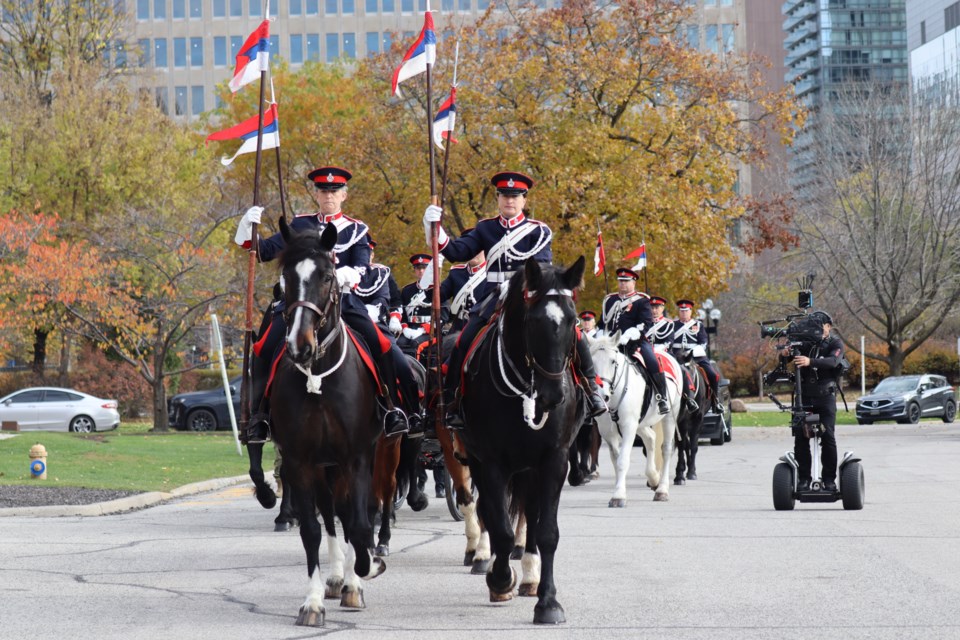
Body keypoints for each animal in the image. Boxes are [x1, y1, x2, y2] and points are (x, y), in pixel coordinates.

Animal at [249, 219, 388, 624]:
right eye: (286, 278)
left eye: (328, 276)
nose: (300, 346)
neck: (319, 377)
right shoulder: (301, 461)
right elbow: (312, 529)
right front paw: (312, 602)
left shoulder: (357, 457)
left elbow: (359, 521)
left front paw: (364, 571)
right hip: (324, 466)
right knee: (330, 515)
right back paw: (337, 577)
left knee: (355, 513)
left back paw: (355, 575)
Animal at [458, 256, 584, 624]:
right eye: (534, 321)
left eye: (572, 319)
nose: (553, 396)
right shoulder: (490, 462)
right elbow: (499, 526)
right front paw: (500, 580)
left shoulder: (555, 460)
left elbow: (547, 532)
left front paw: (548, 601)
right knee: (490, 511)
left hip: (530, 468)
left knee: (529, 513)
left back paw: (530, 575)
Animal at [584, 336, 684, 504]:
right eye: (592, 362)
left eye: (613, 361)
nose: (603, 395)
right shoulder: (607, 432)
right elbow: (616, 460)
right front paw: (619, 490)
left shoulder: (629, 427)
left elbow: (623, 460)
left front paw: (618, 496)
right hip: (641, 424)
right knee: (651, 438)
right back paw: (653, 478)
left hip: (670, 416)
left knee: (666, 449)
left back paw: (662, 490)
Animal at [676, 352, 712, 482]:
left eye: (689, 370)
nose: (690, 402)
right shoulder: (679, 421)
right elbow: (682, 445)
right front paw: (680, 473)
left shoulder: (698, 419)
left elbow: (693, 445)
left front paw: (691, 472)